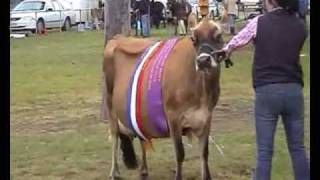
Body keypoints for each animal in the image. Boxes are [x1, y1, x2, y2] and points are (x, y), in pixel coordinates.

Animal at [102, 17, 225, 180]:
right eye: (193, 39)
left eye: (219, 35)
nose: (203, 60)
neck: (201, 90)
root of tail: (118, 37)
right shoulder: (173, 117)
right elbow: (180, 154)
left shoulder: (206, 117)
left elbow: (204, 154)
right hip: (110, 102)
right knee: (115, 136)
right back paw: (114, 172)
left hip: (139, 112)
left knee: (141, 136)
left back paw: (143, 170)